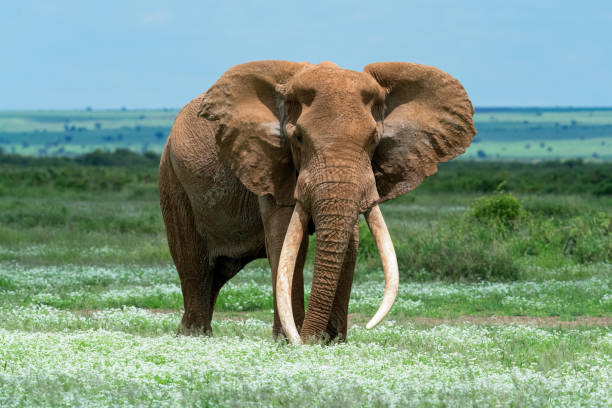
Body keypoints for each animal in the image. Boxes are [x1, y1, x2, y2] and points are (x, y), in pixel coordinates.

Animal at [160, 59, 476, 342]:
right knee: (196, 267)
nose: (310, 339)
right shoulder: (268, 162)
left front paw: (332, 341)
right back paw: (193, 336)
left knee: (218, 272)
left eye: (374, 139)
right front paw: (290, 340)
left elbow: (350, 242)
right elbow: (286, 240)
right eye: (298, 138)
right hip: (173, 179)